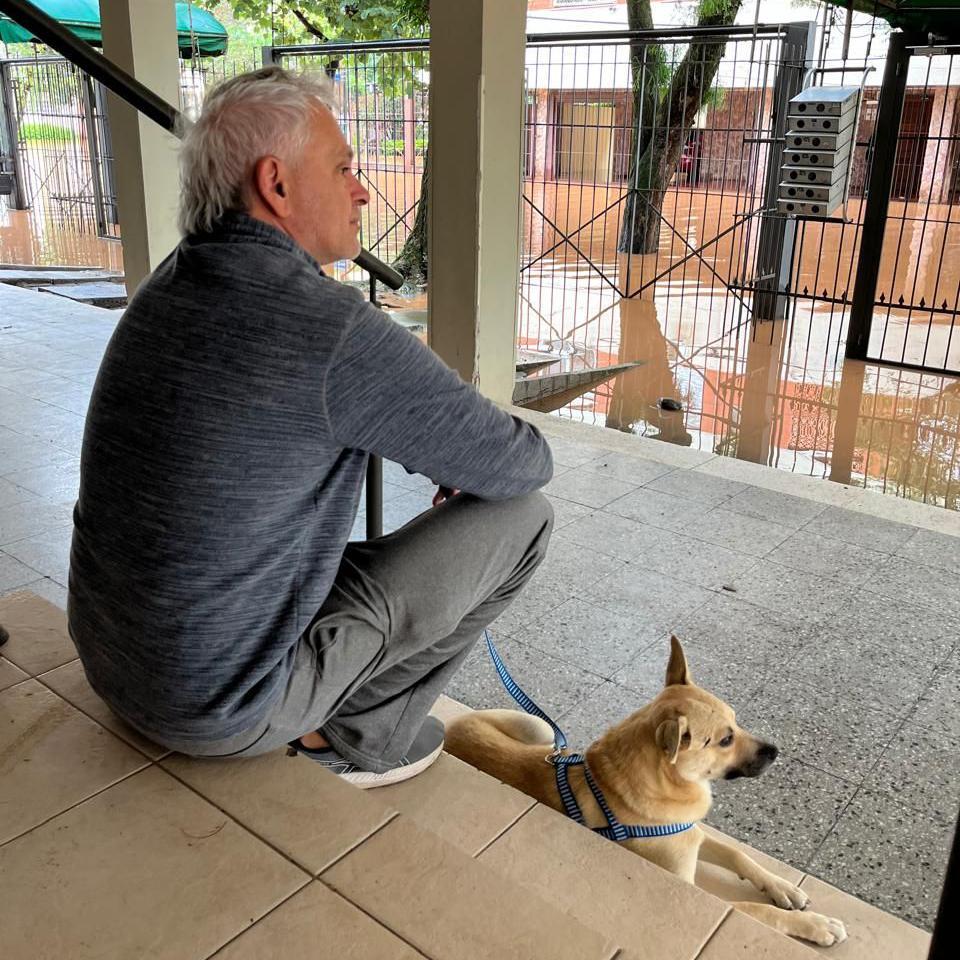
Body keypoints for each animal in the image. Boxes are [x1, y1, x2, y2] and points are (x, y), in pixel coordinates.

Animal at [444, 636, 848, 944]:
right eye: (725, 740)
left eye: (736, 721)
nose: (775, 752)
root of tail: (449, 727)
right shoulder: (689, 884)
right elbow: (754, 910)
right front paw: (816, 925)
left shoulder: (691, 833)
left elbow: (738, 854)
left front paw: (783, 887)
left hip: (537, 730)